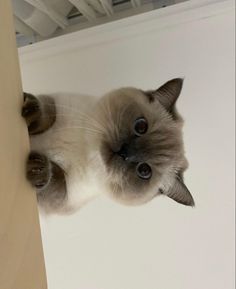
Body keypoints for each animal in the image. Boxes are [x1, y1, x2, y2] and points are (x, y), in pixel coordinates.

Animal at [22, 77, 195, 213]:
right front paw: (29, 111)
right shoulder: (56, 103)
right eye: (141, 127)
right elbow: (46, 114)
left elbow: (54, 178)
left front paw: (37, 168)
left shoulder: (62, 201)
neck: (84, 149)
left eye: (144, 171)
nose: (124, 153)